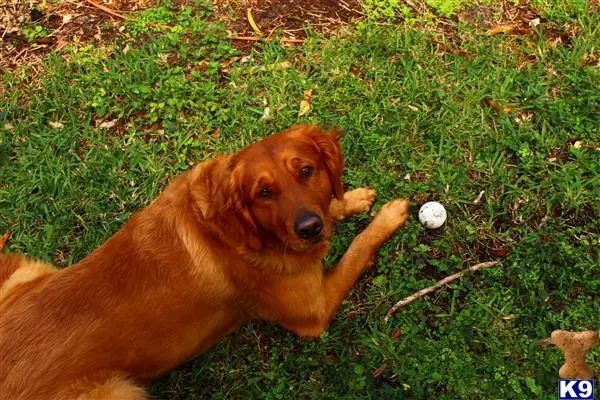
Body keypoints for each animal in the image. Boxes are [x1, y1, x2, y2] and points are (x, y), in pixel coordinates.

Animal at [0, 125, 410, 400]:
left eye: (306, 170)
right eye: (263, 193)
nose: (309, 228)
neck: (232, 227)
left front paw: (351, 199)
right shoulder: (314, 312)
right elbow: (357, 249)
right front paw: (387, 216)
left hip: (23, 267)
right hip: (119, 391)